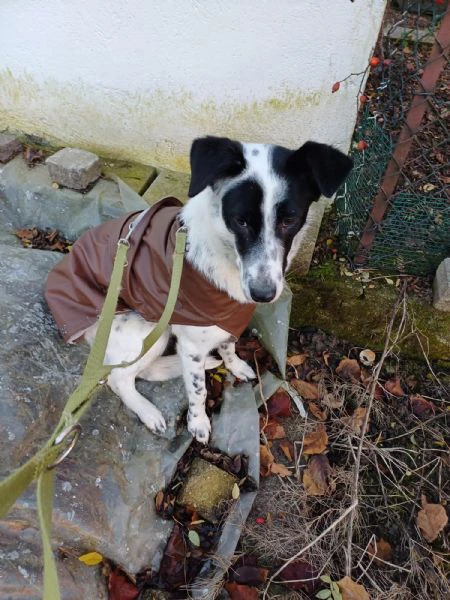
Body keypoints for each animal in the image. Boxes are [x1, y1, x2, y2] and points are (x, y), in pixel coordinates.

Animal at [84, 138, 352, 442]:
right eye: (240, 220)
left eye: (289, 220)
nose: (262, 294)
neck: (224, 253)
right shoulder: (191, 345)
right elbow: (198, 390)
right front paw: (198, 422)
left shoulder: (226, 319)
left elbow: (228, 345)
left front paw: (234, 366)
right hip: (148, 330)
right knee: (118, 378)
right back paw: (148, 412)